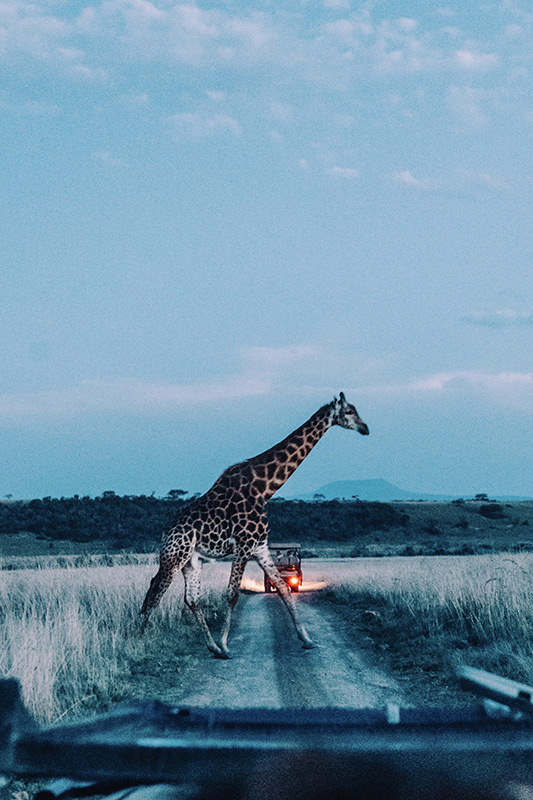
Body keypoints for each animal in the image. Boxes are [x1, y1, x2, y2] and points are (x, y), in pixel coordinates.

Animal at [139, 390, 368, 660]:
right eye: (349, 411)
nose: (365, 429)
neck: (264, 488)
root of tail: (165, 534)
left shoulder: (260, 547)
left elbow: (284, 589)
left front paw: (307, 639)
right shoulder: (244, 545)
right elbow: (232, 593)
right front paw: (226, 645)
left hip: (192, 562)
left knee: (191, 599)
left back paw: (211, 647)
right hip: (174, 556)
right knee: (154, 591)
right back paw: (140, 641)